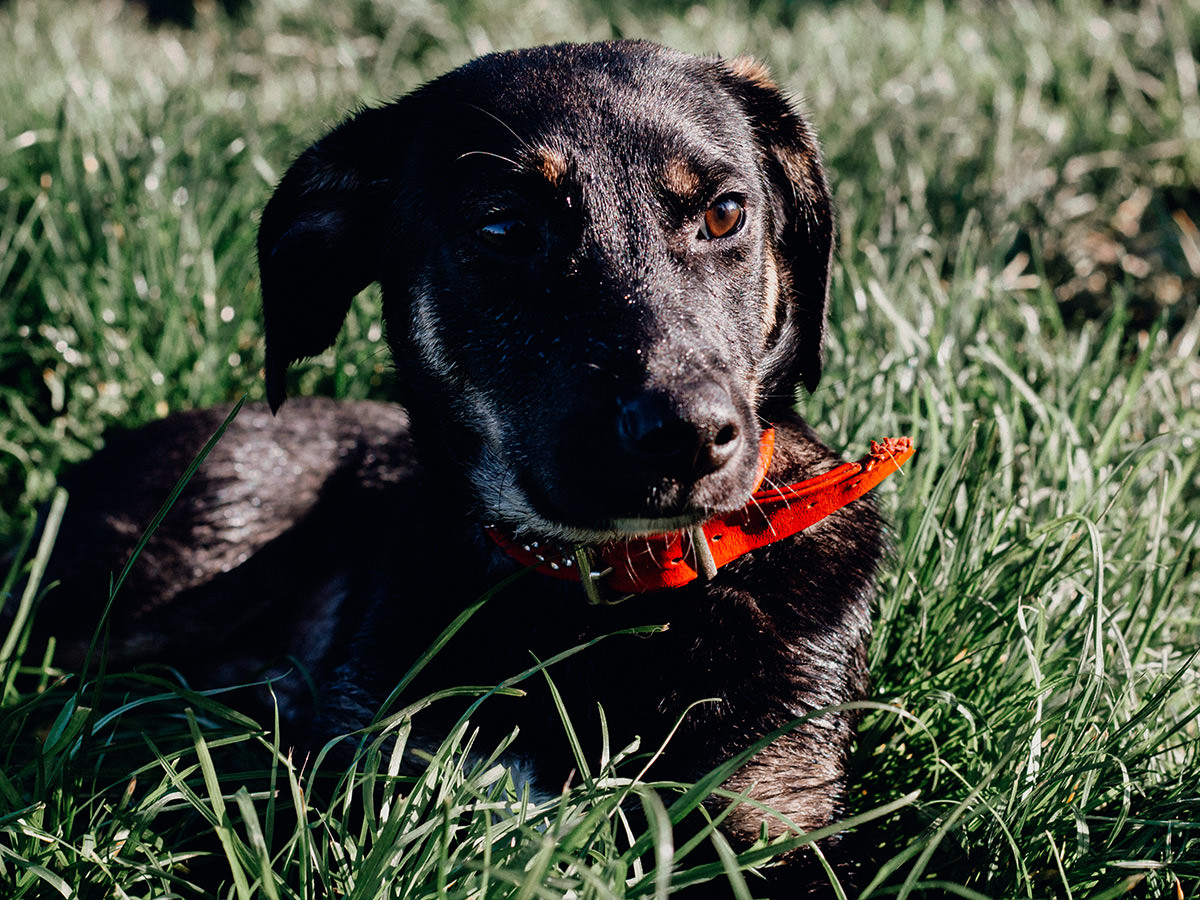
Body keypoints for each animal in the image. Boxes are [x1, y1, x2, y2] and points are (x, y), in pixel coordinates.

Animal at [42, 40, 912, 897]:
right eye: (504, 228)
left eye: (725, 212)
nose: (691, 435)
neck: (607, 595)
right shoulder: (398, 780)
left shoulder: (774, 814)